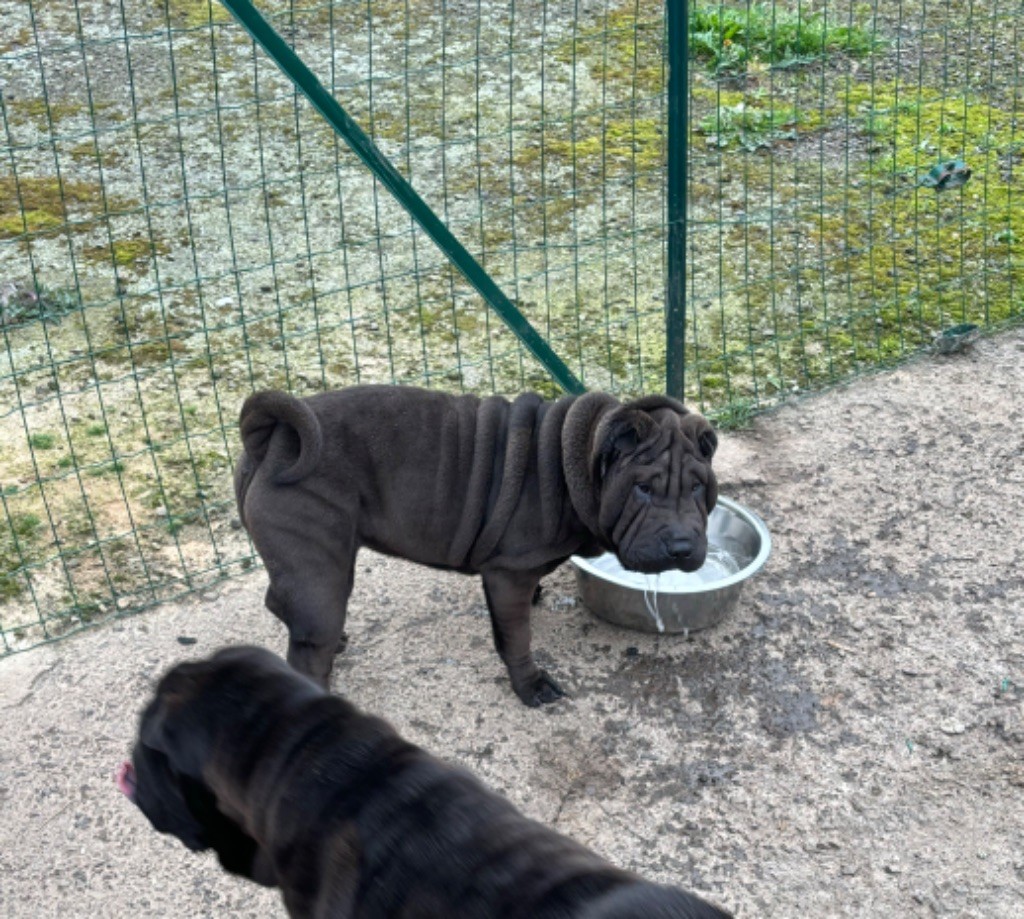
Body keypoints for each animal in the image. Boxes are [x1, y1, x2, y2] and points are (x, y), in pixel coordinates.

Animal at [235, 386, 718, 705]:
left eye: (698, 487)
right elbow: (516, 636)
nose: (681, 545)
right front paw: (532, 686)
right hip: (320, 564)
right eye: (642, 490)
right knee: (309, 645)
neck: (575, 460)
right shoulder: (509, 573)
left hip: (312, 563)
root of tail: (273, 436)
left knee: (281, 600)